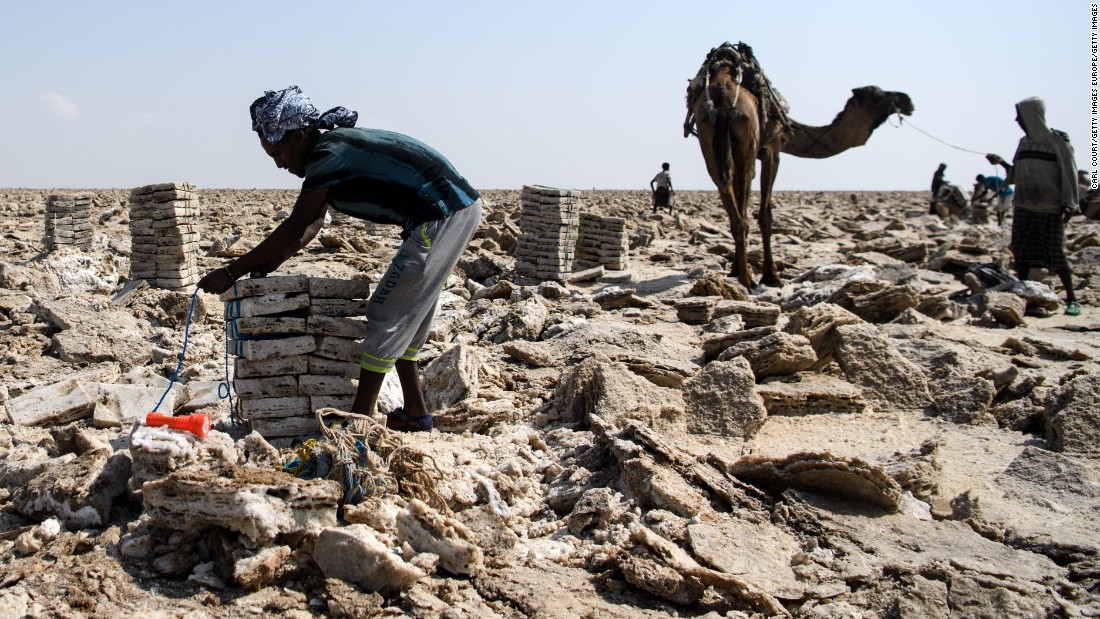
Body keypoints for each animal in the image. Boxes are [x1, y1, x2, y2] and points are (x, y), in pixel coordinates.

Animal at [686, 42, 910, 290]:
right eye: (876, 96)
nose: (907, 101)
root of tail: (723, 96)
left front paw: (736, 269)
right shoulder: (772, 149)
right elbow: (765, 213)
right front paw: (771, 276)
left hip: (710, 140)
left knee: (728, 194)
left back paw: (744, 276)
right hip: (746, 140)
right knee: (743, 210)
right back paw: (748, 280)